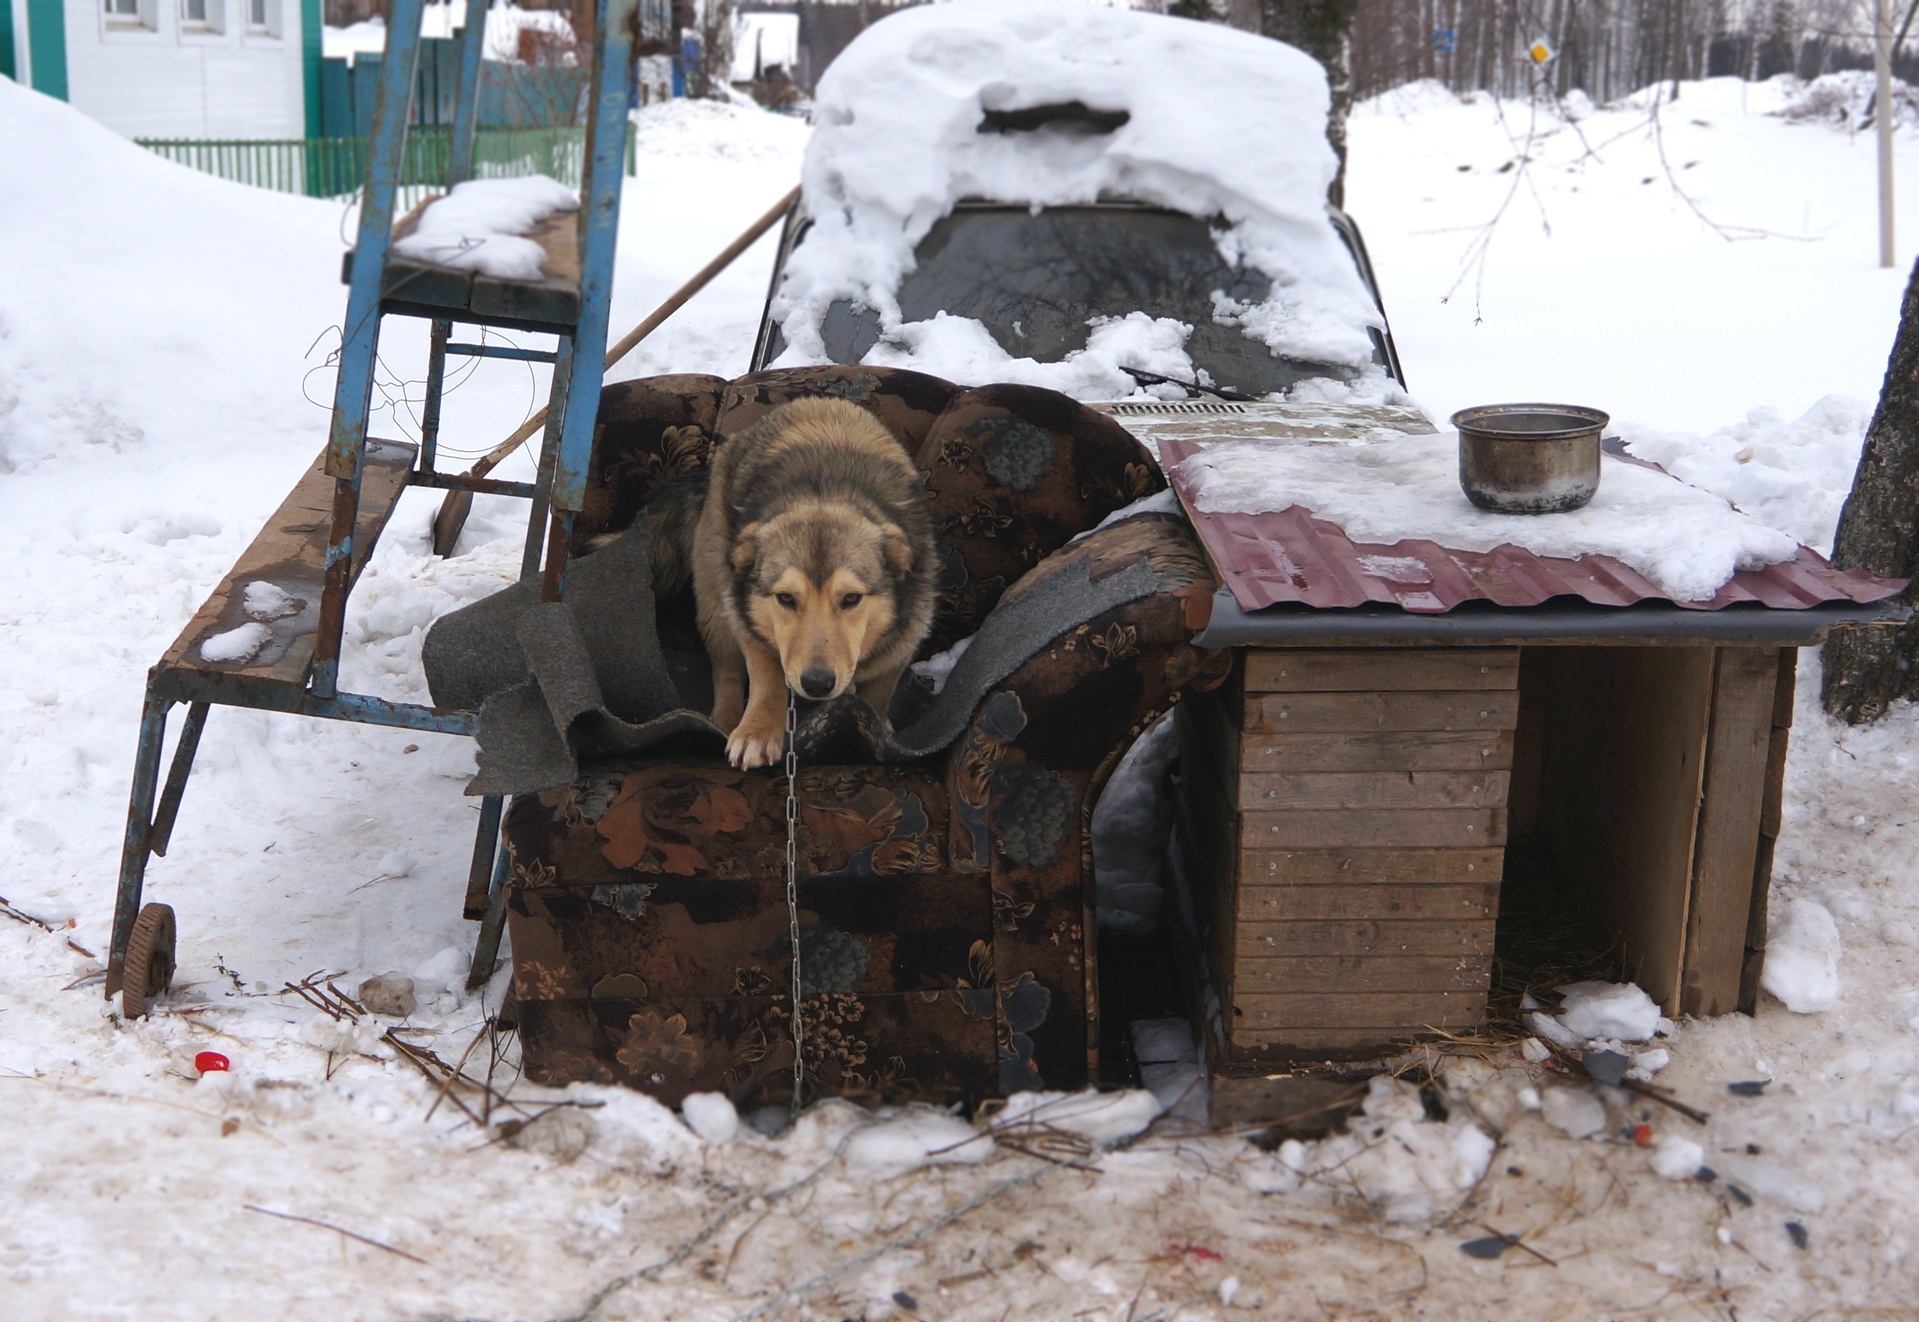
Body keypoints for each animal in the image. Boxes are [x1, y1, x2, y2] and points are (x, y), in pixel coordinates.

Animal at [640, 397, 936, 769]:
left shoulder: (905, 640)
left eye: (851, 598)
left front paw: (873, 723)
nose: (817, 684)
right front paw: (757, 730)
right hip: (715, 602)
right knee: (726, 672)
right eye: (785, 598)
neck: (827, 492)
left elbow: (880, 691)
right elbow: (766, 675)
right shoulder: (749, 620)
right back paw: (724, 720)